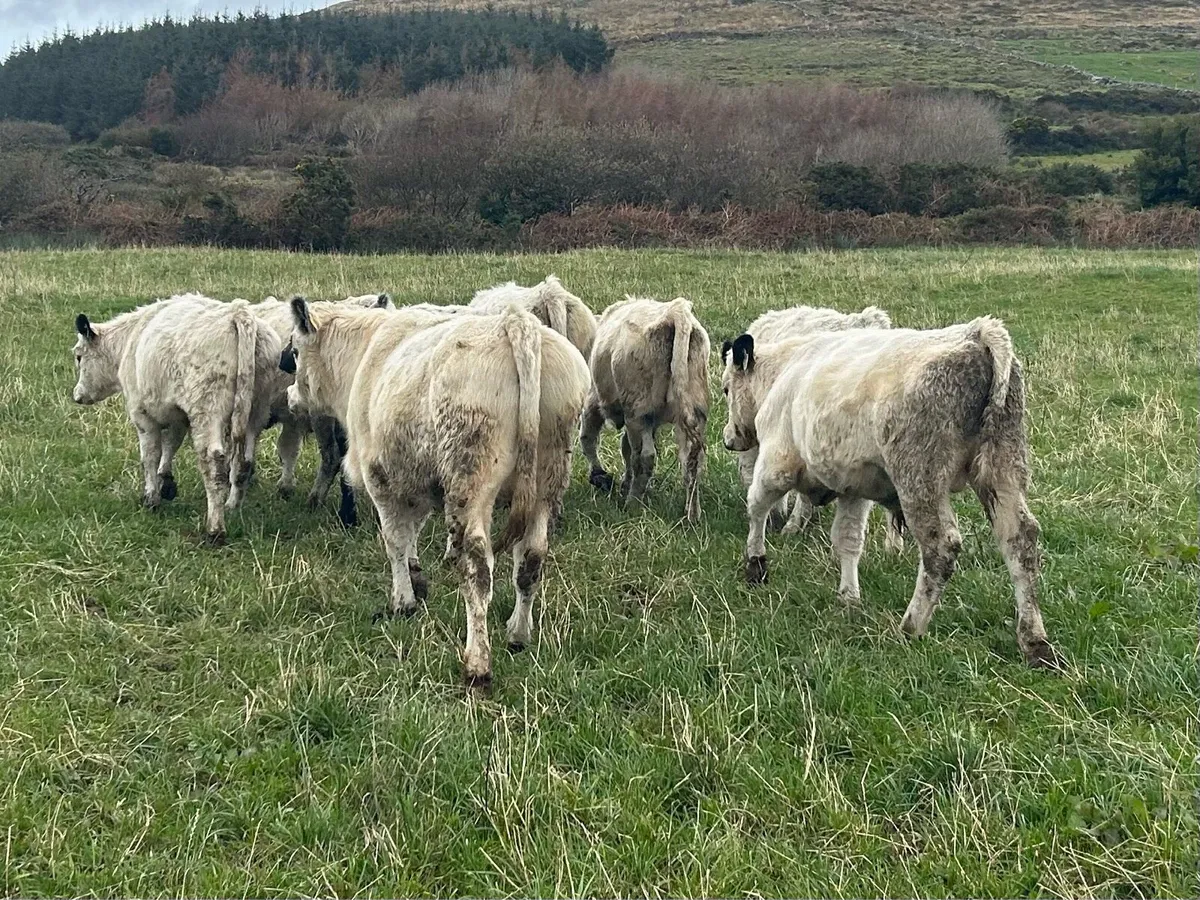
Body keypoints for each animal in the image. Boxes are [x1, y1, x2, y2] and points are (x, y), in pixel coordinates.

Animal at [72, 294, 289, 542]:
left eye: (79, 357)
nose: (77, 395)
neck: (131, 340)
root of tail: (238, 314)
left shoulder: (142, 415)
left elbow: (150, 456)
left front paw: (151, 498)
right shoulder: (177, 416)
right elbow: (171, 445)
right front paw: (166, 482)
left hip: (207, 412)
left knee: (213, 465)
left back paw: (215, 530)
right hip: (255, 411)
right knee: (243, 463)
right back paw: (232, 506)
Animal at [285, 297, 590, 688]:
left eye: (295, 351)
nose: (291, 397)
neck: (366, 355)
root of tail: (515, 324)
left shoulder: (382, 478)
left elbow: (395, 540)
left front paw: (403, 600)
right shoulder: (418, 480)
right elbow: (412, 532)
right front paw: (417, 577)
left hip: (470, 483)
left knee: (477, 570)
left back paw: (477, 663)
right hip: (545, 485)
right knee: (531, 558)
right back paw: (518, 633)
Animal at [580, 297, 710, 522]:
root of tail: (676, 312)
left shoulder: (594, 400)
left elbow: (588, 437)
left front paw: (599, 476)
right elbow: (624, 448)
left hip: (638, 412)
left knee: (644, 457)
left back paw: (633, 503)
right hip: (693, 411)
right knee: (692, 460)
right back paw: (692, 514)